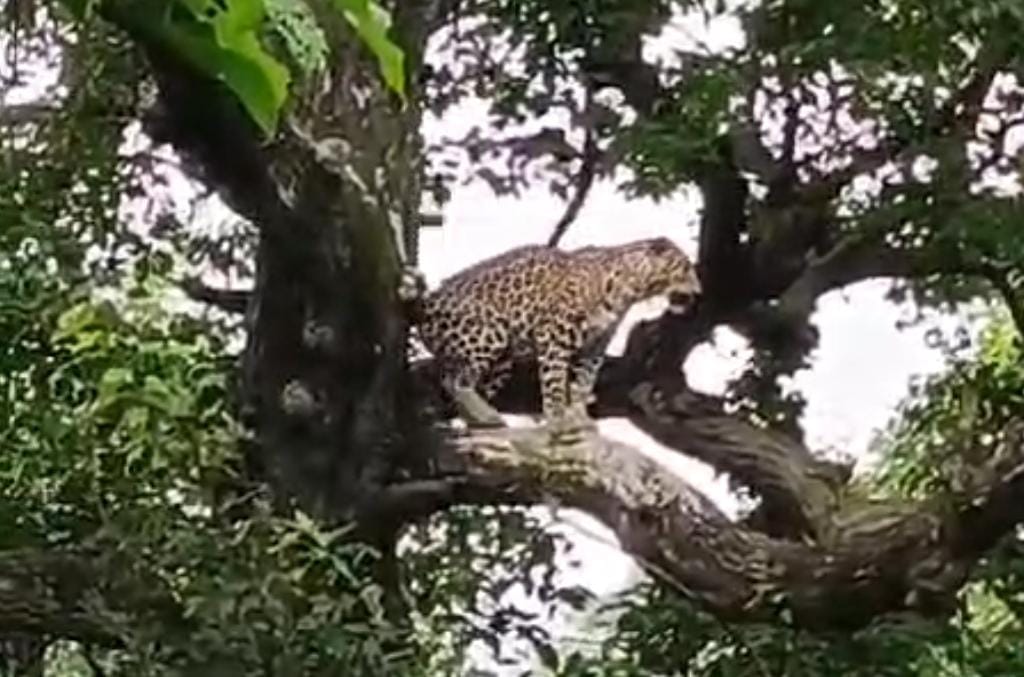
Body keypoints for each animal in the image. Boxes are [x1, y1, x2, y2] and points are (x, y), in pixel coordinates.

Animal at [410, 237, 702, 435]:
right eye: (685, 267)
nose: (699, 292)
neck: (629, 288)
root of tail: (426, 305)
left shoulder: (595, 346)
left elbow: (583, 384)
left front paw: (581, 419)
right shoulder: (554, 336)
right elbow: (555, 384)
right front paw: (558, 420)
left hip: (502, 361)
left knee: (456, 382)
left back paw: (481, 420)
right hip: (488, 334)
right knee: (457, 381)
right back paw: (483, 416)